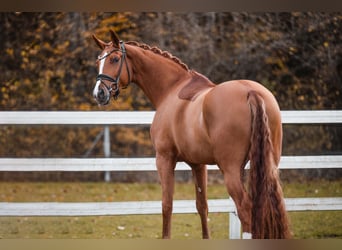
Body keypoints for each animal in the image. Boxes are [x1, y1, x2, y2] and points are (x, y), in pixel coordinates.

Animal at [92, 30, 290, 239]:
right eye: (98, 61)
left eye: (114, 59)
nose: (99, 94)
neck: (172, 88)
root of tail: (251, 92)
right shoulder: (198, 164)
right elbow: (202, 206)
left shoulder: (164, 159)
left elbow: (167, 205)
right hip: (268, 167)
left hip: (231, 170)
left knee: (246, 211)